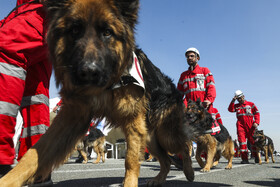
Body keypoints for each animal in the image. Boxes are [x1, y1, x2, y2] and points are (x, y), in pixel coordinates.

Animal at [0, 0, 197, 186]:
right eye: (75, 30)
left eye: (107, 32)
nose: (88, 71)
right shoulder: (71, 118)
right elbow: (33, 154)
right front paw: (9, 179)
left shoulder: (132, 120)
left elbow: (131, 160)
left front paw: (129, 183)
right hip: (149, 137)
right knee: (166, 159)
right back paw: (159, 178)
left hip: (165, 134)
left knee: (184, 145)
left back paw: (189, 171)